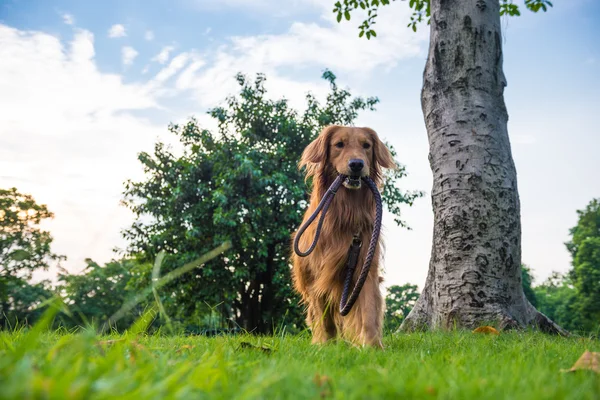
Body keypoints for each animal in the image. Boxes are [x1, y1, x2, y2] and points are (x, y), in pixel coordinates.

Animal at [292, 125, 396, 346]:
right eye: (339, 144)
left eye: (366, 145)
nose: (356, 164)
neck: (347, 214)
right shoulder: (319, 272)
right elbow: (324, 318)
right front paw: (325, 345)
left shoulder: (366, 266)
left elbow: (369, 311)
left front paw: (373, 346)